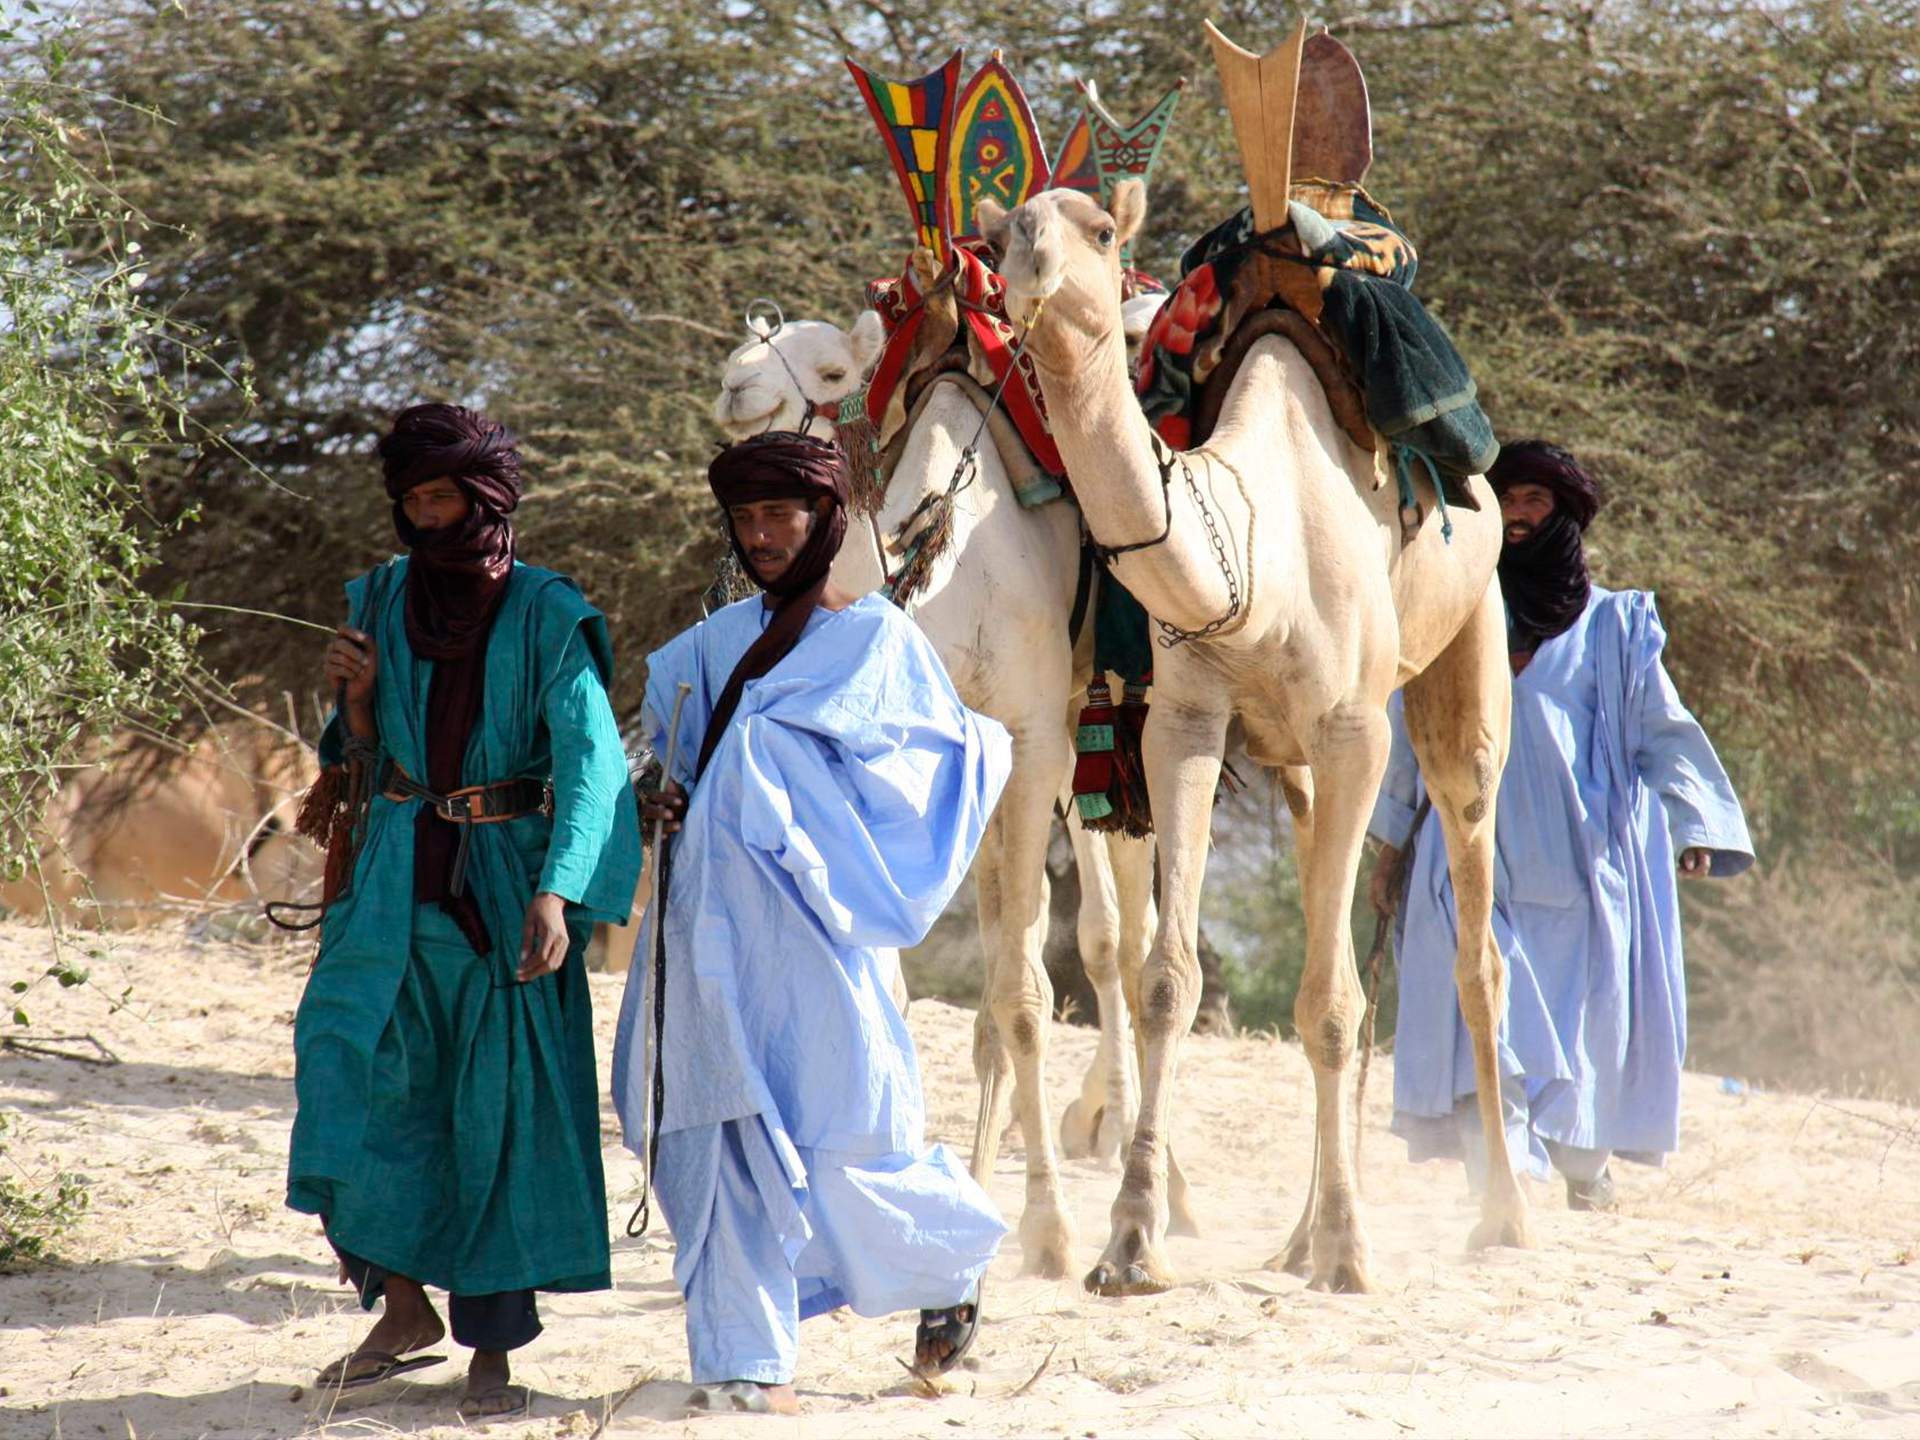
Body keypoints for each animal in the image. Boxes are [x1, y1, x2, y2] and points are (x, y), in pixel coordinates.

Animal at [714, 299, 1175, 1282]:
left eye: (835, 370)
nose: (738, 387)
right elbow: (926, 971)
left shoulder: (1033, 737)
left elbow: (1026, 996)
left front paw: (1049, 1229)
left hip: (1111, 719)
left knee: (1122, 934)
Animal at [983, 177, 1536, 1297]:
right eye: (1005, 228)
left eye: (1098, 232)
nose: (1033, 274)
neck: (1254, 544)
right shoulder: (1187, 724)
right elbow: (1169, 979)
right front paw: (1130, 1244)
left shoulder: (1354, 729)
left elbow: (1330, 1002)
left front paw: (1352, 1255)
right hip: (1290, 763)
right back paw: (1297, 1233)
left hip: (1466, 651)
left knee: (1471, 938)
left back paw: (1498, 1216)